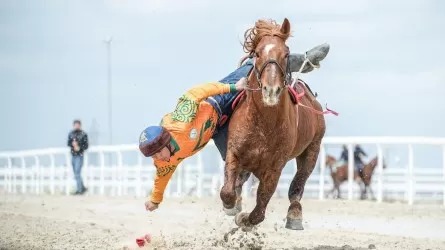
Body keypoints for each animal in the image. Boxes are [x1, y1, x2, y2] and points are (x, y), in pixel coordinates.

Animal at [219, 18, 326, 231]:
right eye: (258, 53)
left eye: (285, 53)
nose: (271, 90)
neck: (264, 123)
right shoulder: (234, 152)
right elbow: (228, 191)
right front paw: (232, 206)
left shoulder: (275, 167)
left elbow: (260, 209)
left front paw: (244, 220)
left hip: (312, 149)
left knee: (298, 184)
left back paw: (294, 214)